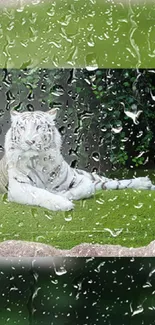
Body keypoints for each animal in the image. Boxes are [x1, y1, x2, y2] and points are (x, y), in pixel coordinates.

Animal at [3, 107, 155, 211]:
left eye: (39, 127)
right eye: (22, 127)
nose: (29, 141)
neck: (39, 161)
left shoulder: (80, 180)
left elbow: (84, 189)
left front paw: (62, 194)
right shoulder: (18, 187)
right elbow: (41, 193)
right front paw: (61, 202)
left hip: (91, 176)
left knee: (112, 182)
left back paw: (145, 183)